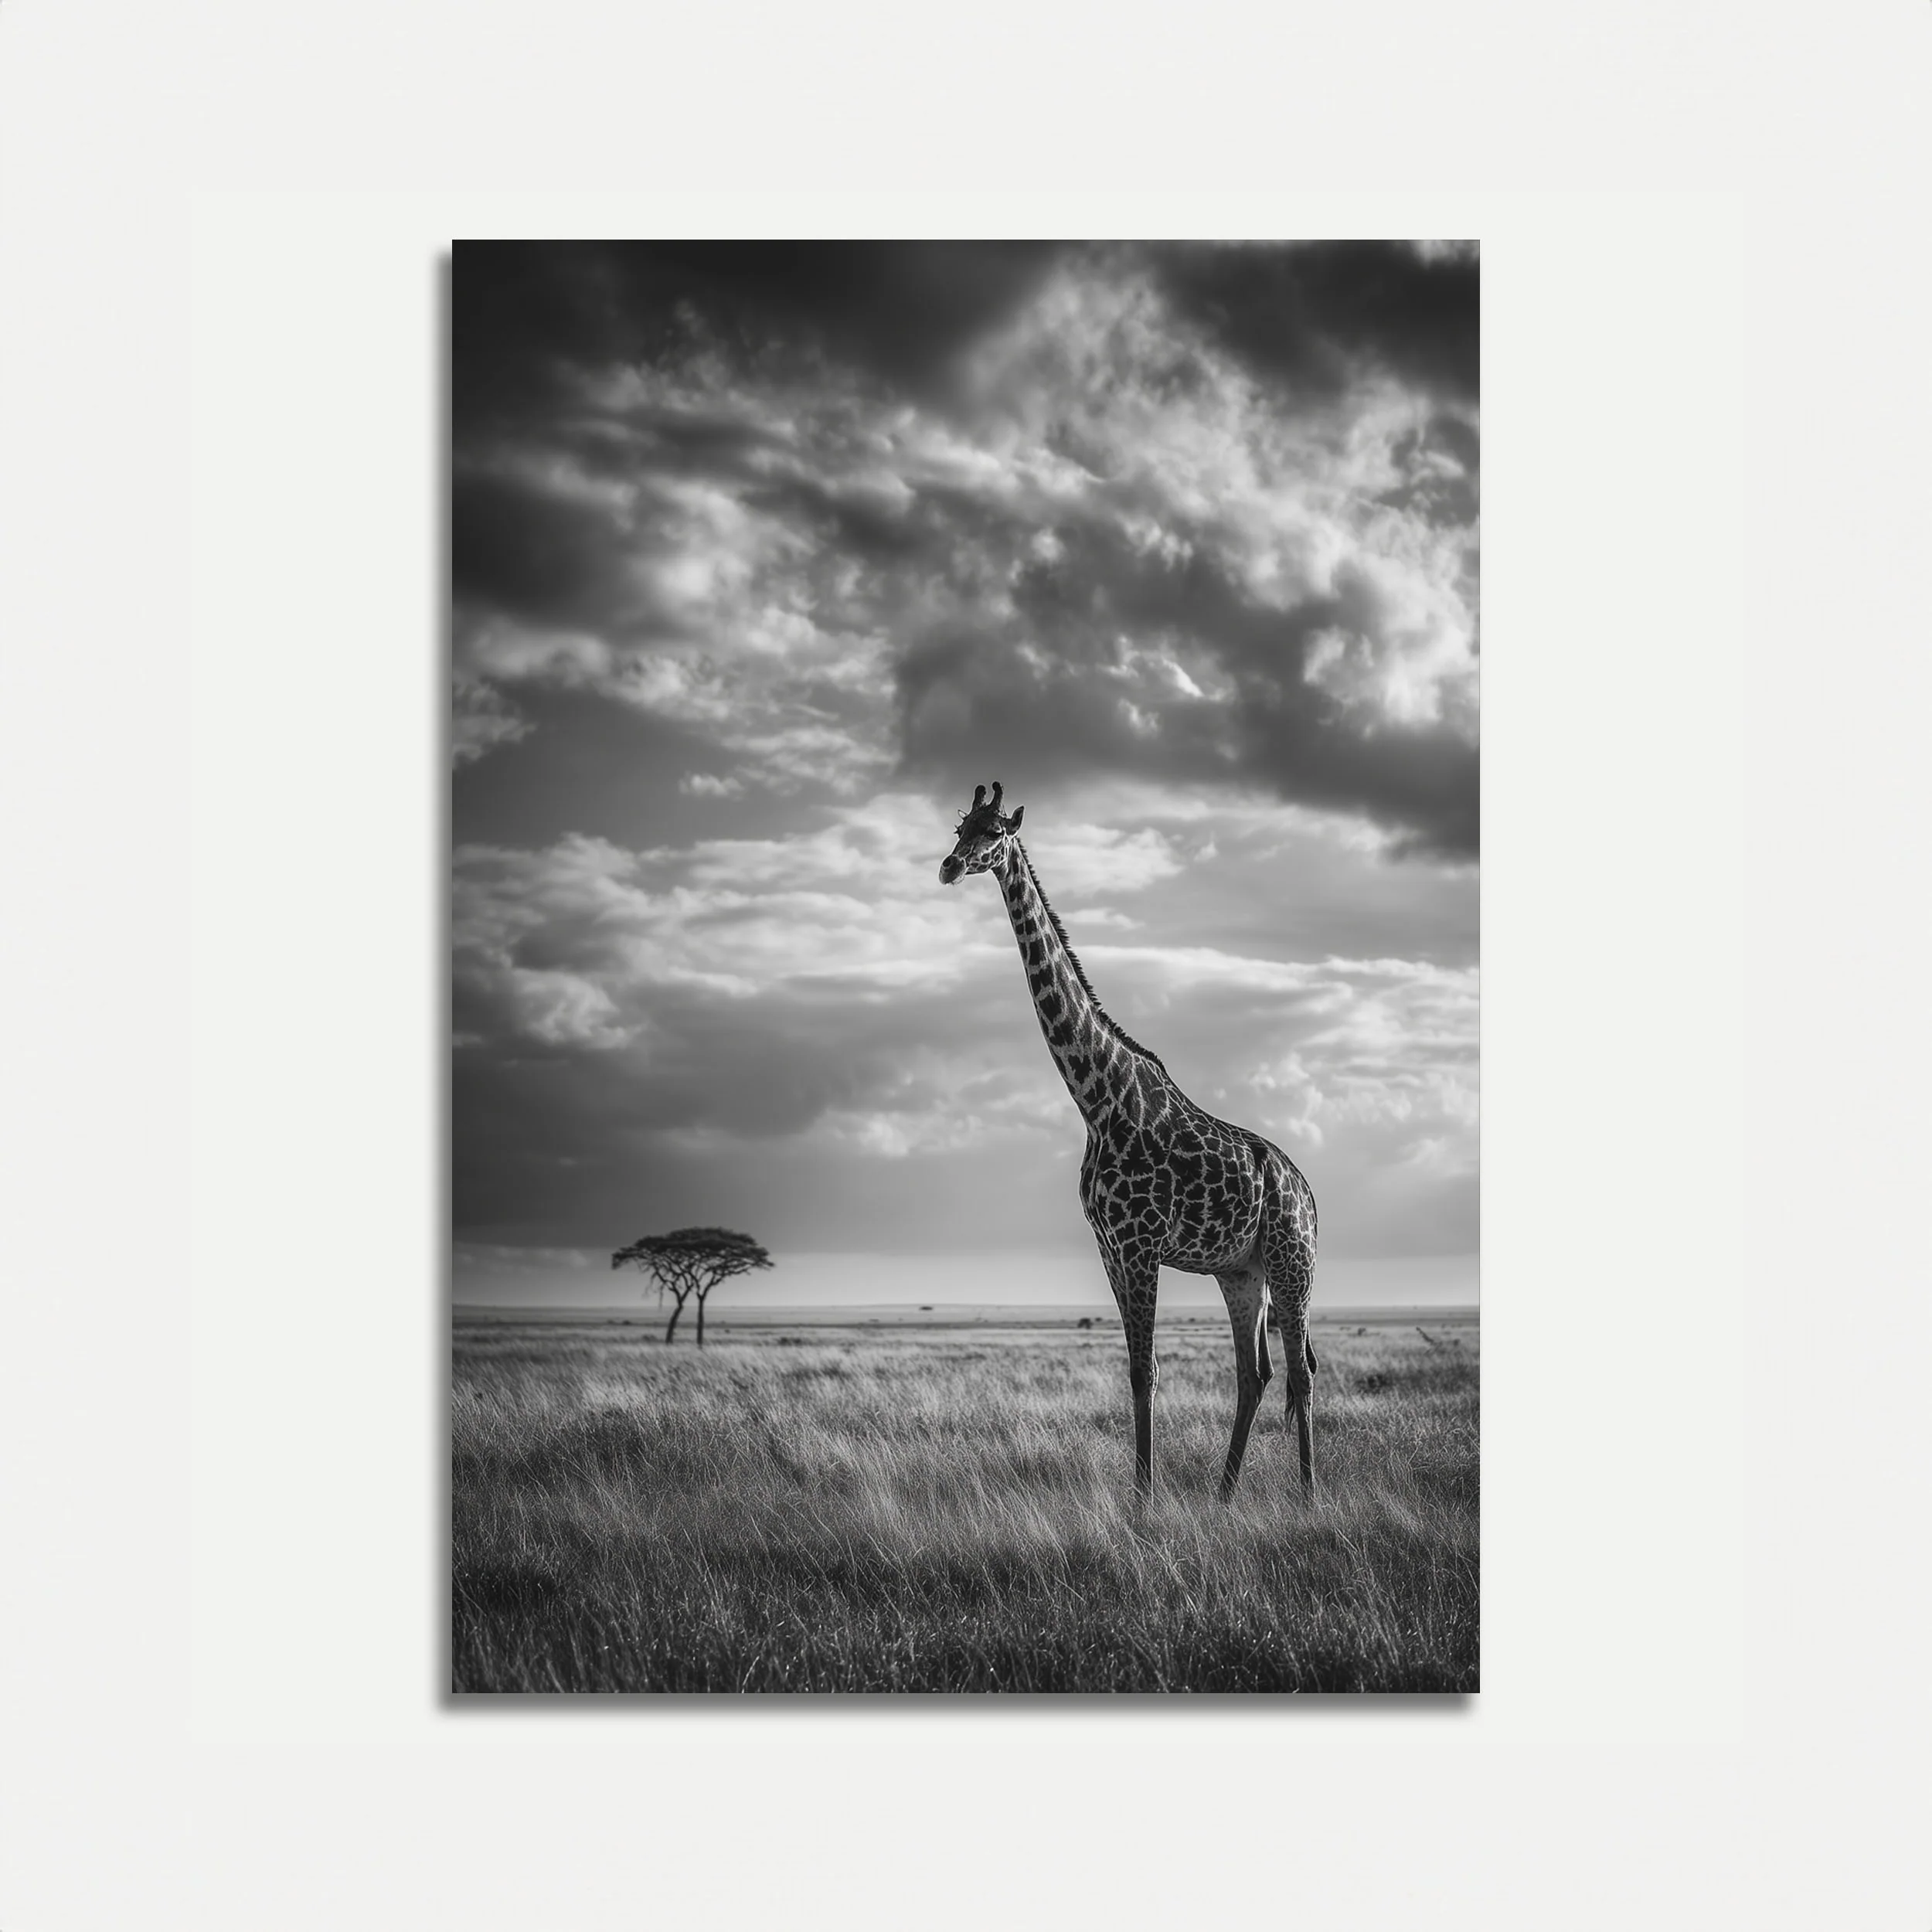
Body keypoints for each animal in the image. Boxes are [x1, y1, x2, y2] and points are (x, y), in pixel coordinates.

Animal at [939, 782, 1319, 1501]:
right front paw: (1141, 1500)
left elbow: (1148, 1371)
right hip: (1241, 1270)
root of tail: (1307, 1191)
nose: (949, 866)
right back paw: (1223, 1498)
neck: (1097, 1100)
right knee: (1255, 1373)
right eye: (958, 826)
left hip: (1294, 1261)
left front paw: (1144, 1507)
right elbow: (1138, 1372)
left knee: (1301, 1372)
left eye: (996, 833)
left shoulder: (1141, 1246)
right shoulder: (1111, 1248)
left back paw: (1310, 1499)